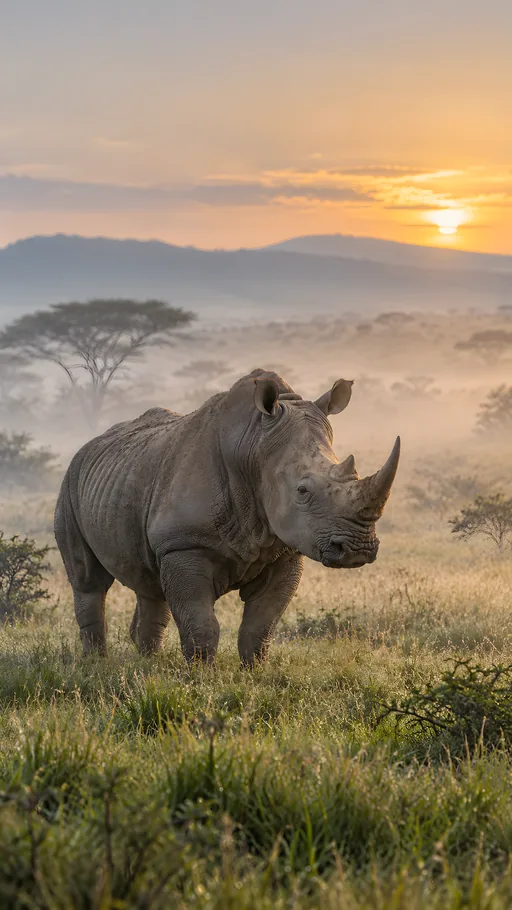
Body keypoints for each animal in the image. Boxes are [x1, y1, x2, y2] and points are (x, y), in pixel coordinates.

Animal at [54, 369, 400, 665]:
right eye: (303, 491)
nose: (358, 550)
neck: (254, 448)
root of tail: (89, 445)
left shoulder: (285, 549)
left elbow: (261, 624)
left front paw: (254, 674)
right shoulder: (184, 544)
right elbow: (200, 624)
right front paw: (200, 678)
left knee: (148, 582)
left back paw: (148, 662)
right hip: (70, 482)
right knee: (90, 581)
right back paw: (96, 663)